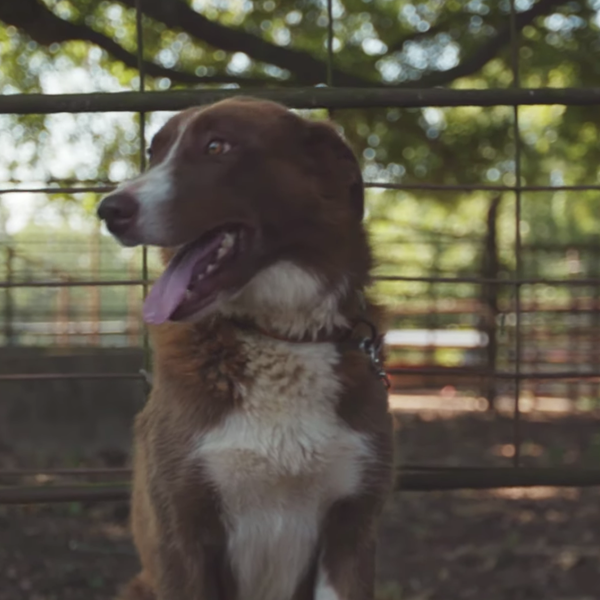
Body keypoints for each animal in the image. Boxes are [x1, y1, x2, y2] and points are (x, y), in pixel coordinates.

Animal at [97, 98, 394, 600]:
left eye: (217, 146)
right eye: (154, 153)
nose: (108, 209)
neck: (278, 333)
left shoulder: (352, 530)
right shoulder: (183, 536)